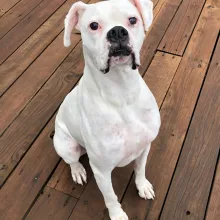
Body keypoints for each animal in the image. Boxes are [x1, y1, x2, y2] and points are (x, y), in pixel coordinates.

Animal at [53, 0, 160, 219]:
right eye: (94, 25)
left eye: (132, 20)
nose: (118, 32)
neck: (122, 93)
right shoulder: (101, 171)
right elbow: (110, 196)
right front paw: (117, 214)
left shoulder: (144, 147)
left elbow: (140, 170)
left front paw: (142, 186)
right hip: (65, 145)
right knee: (71, 161)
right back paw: (78, 171)